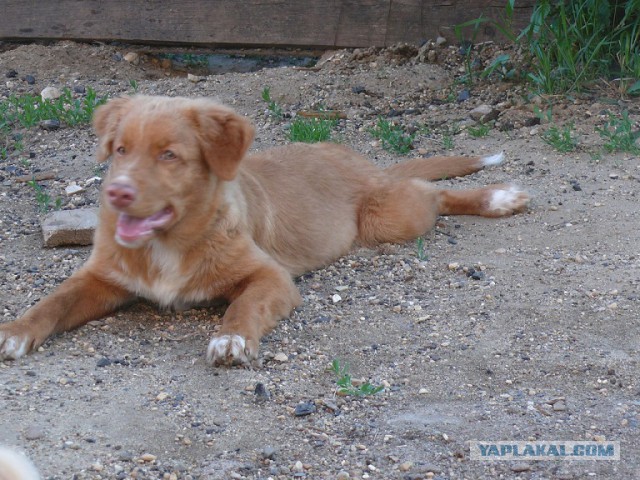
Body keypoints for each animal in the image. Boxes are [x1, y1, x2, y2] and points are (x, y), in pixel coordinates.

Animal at [0, 94, 528, 366]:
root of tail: (369, 165)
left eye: (169, 155)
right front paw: (16, 332)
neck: (168, 245)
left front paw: (231, 339)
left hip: (390, 217)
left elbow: (244, 305)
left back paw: (499, 198)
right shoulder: (100, 278)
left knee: (433, 194)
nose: (117, 193)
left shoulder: (271, 276)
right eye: (120, 150)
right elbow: (52, 301)